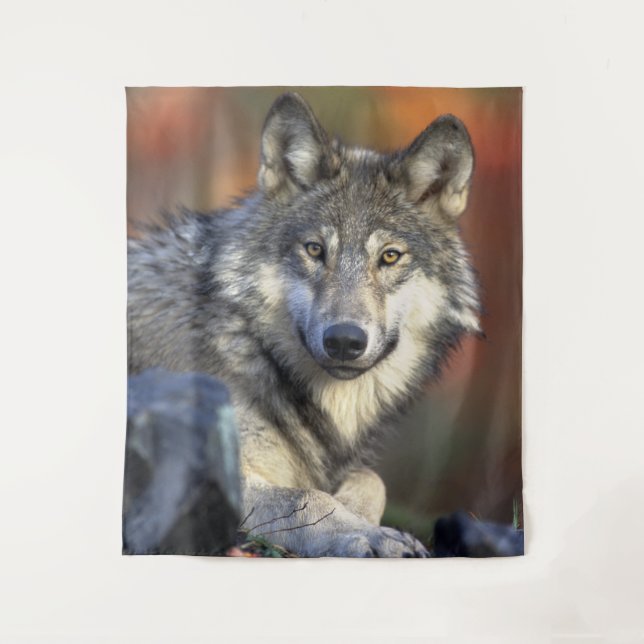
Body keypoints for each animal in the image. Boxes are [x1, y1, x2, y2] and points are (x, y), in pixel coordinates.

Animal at [127, 92, 480, 557]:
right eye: (314, 250)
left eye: (389, 256)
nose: (345, 341)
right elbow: (309, 498)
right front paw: (368, 535)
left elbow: (371, 480)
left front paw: (361, 516)